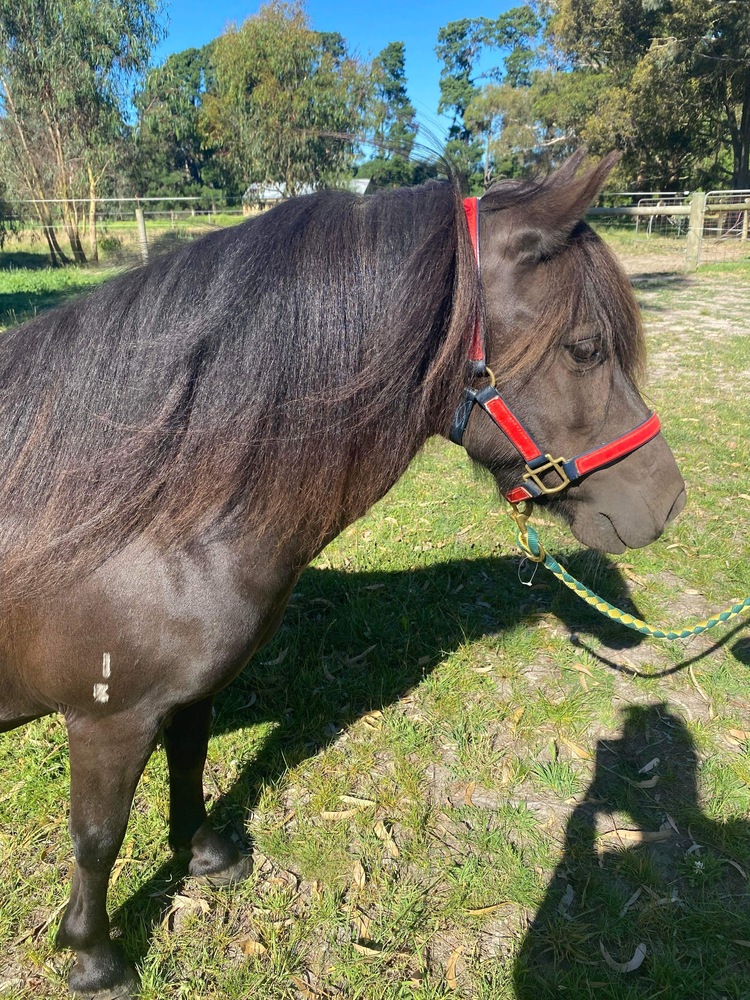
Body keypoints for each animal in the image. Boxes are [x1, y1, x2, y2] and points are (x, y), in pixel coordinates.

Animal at [0, 151, 685, 996]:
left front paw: (204, 855)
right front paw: (95, 957)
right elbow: (97, 837)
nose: (667, 501)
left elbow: (188, 762)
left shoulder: (184, 693)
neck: (137, 502)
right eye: (586, 347)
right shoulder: (107, 719)